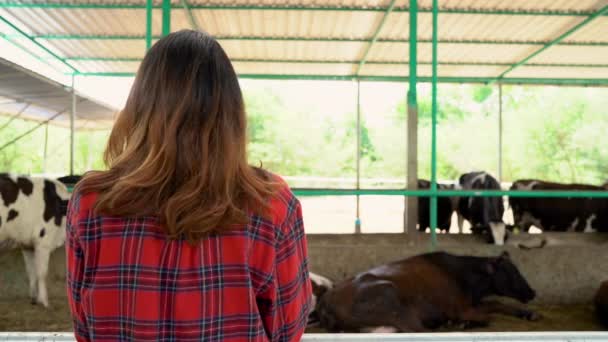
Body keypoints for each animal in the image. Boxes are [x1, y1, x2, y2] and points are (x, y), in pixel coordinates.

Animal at [0, 174, 69, 308]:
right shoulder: (43, 241)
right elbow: (42, 273)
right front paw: (45, 302)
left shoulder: (27, 245)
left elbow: (32, 272)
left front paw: (34, 299)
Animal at [316, 250, 540, 332]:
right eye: (512, 272)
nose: (532, 292)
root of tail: (327, 300)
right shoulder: (461, 308)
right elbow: (487, 315)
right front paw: (463, 323)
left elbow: (495, 303)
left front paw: (529, 313)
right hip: (395, 303)